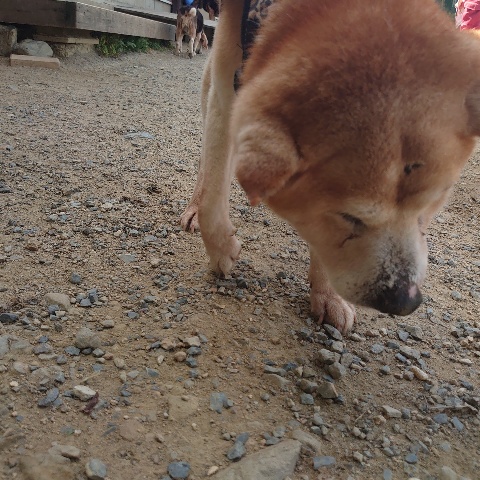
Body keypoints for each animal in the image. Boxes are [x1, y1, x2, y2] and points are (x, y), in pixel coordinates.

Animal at [180, 0, 480, 333]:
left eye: (430, 207)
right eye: (349, 217)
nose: (405, 303)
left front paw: (327, 295)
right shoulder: (228, 82)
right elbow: (213, 194)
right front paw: (222, 251)